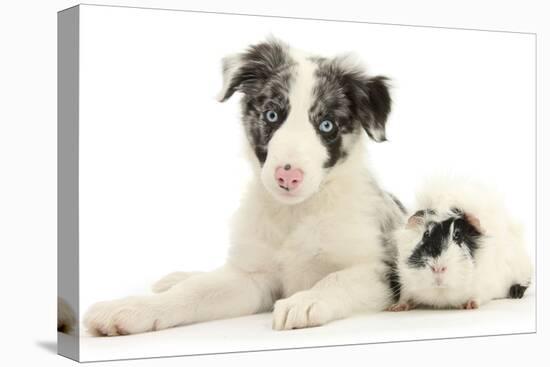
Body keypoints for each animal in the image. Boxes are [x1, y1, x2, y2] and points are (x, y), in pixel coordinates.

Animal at [85, 38, 406, 336]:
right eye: (271, 115)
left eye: (327, 125)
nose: (288, 177)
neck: (295, 214)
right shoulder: (253, 277)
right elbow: (196, 291)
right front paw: (132, 308)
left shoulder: (381, 271)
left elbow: (336, 279)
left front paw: (304, 301)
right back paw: (177, 278)